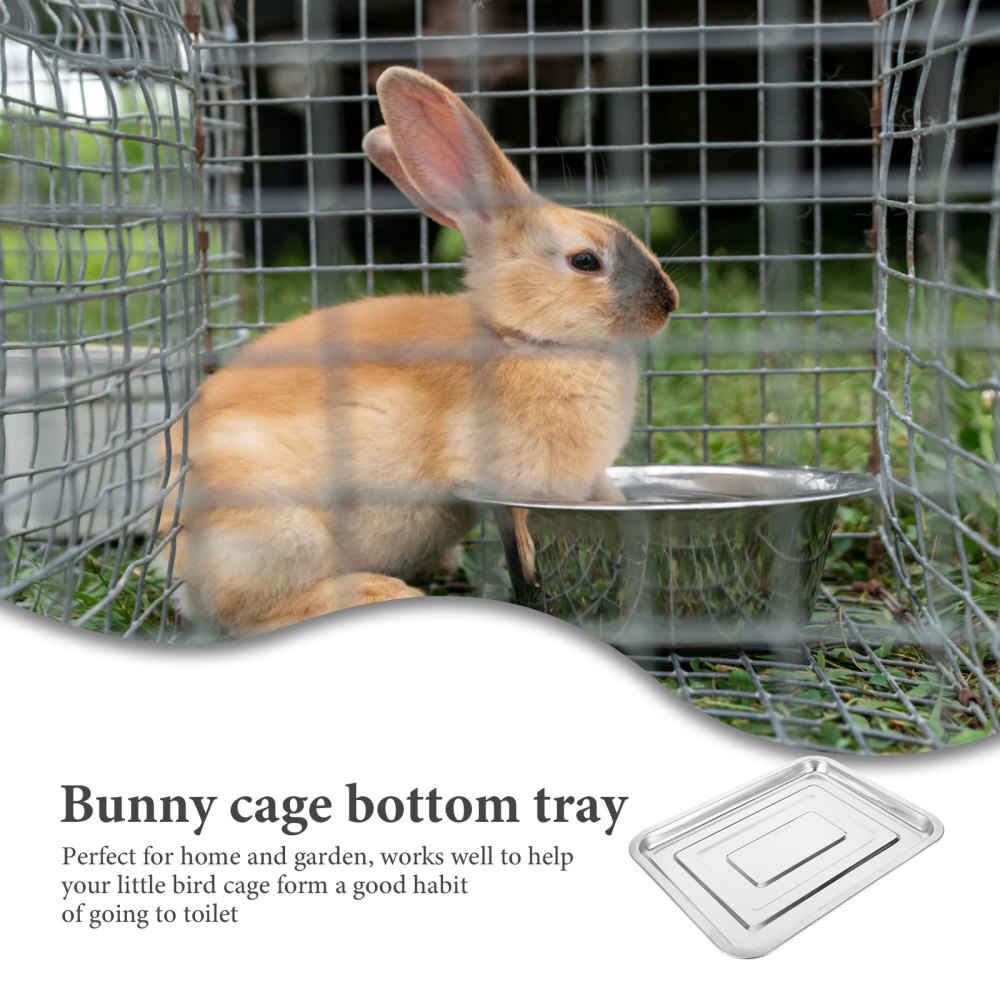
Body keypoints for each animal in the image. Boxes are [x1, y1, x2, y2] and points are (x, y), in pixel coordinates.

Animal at [158, 66, 678, 637]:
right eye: (585, 261)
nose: (669, 304)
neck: (518, 336)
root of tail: (175, 561)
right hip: (280, 532)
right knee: (253, 615)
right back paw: (380, 592)